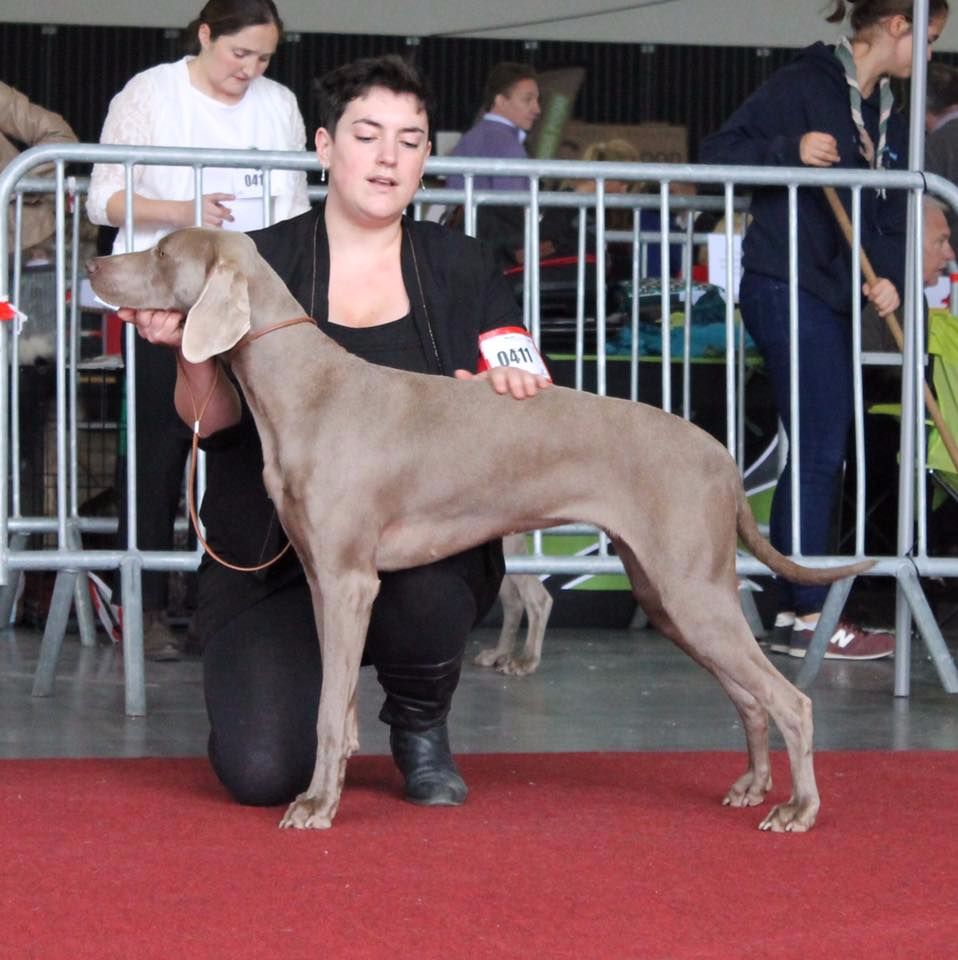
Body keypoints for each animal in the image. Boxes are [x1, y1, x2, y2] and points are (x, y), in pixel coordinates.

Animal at [90, 227, 876, 832]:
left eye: (163, 251)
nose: (95, 267)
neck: (306, 388)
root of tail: (722, 455)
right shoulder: (323, 582)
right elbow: (340, 706)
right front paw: (333, 785)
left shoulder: (349, 582)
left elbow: (324, 711)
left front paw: (316, 805)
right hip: (670, 596)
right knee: (749, 697)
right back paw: (752, 786)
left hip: (692, 590)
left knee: (791, 701)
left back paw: (798, 810)